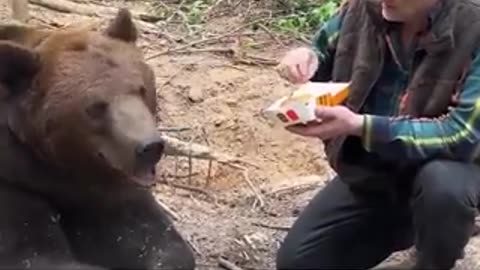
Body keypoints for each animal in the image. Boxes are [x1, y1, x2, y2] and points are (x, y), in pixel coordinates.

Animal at [0, 7, 195, 268]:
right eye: (95, 107)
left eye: (142, 89)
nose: (150, 147)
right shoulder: (16, 183)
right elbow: (33, 254)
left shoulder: (110, 192)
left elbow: (156, 240)